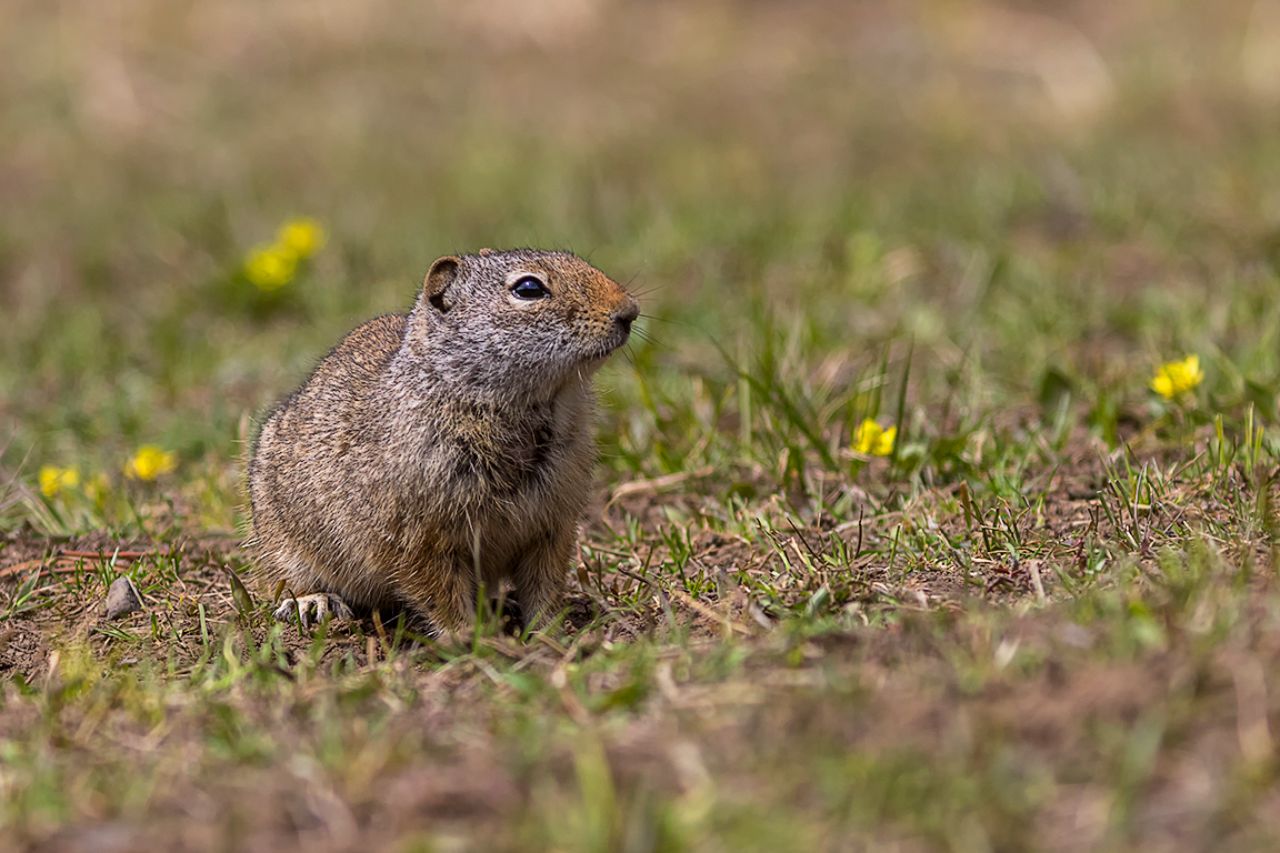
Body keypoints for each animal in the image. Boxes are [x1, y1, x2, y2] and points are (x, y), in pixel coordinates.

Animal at [246, 248, 638, 639]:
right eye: (529, 288)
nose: (629, 311)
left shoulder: (552, 526)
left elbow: (544, 585)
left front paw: (550, 633)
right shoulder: (417, 536)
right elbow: (438, 592)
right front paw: (469, 637)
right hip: (283, 545)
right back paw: (313, 602)